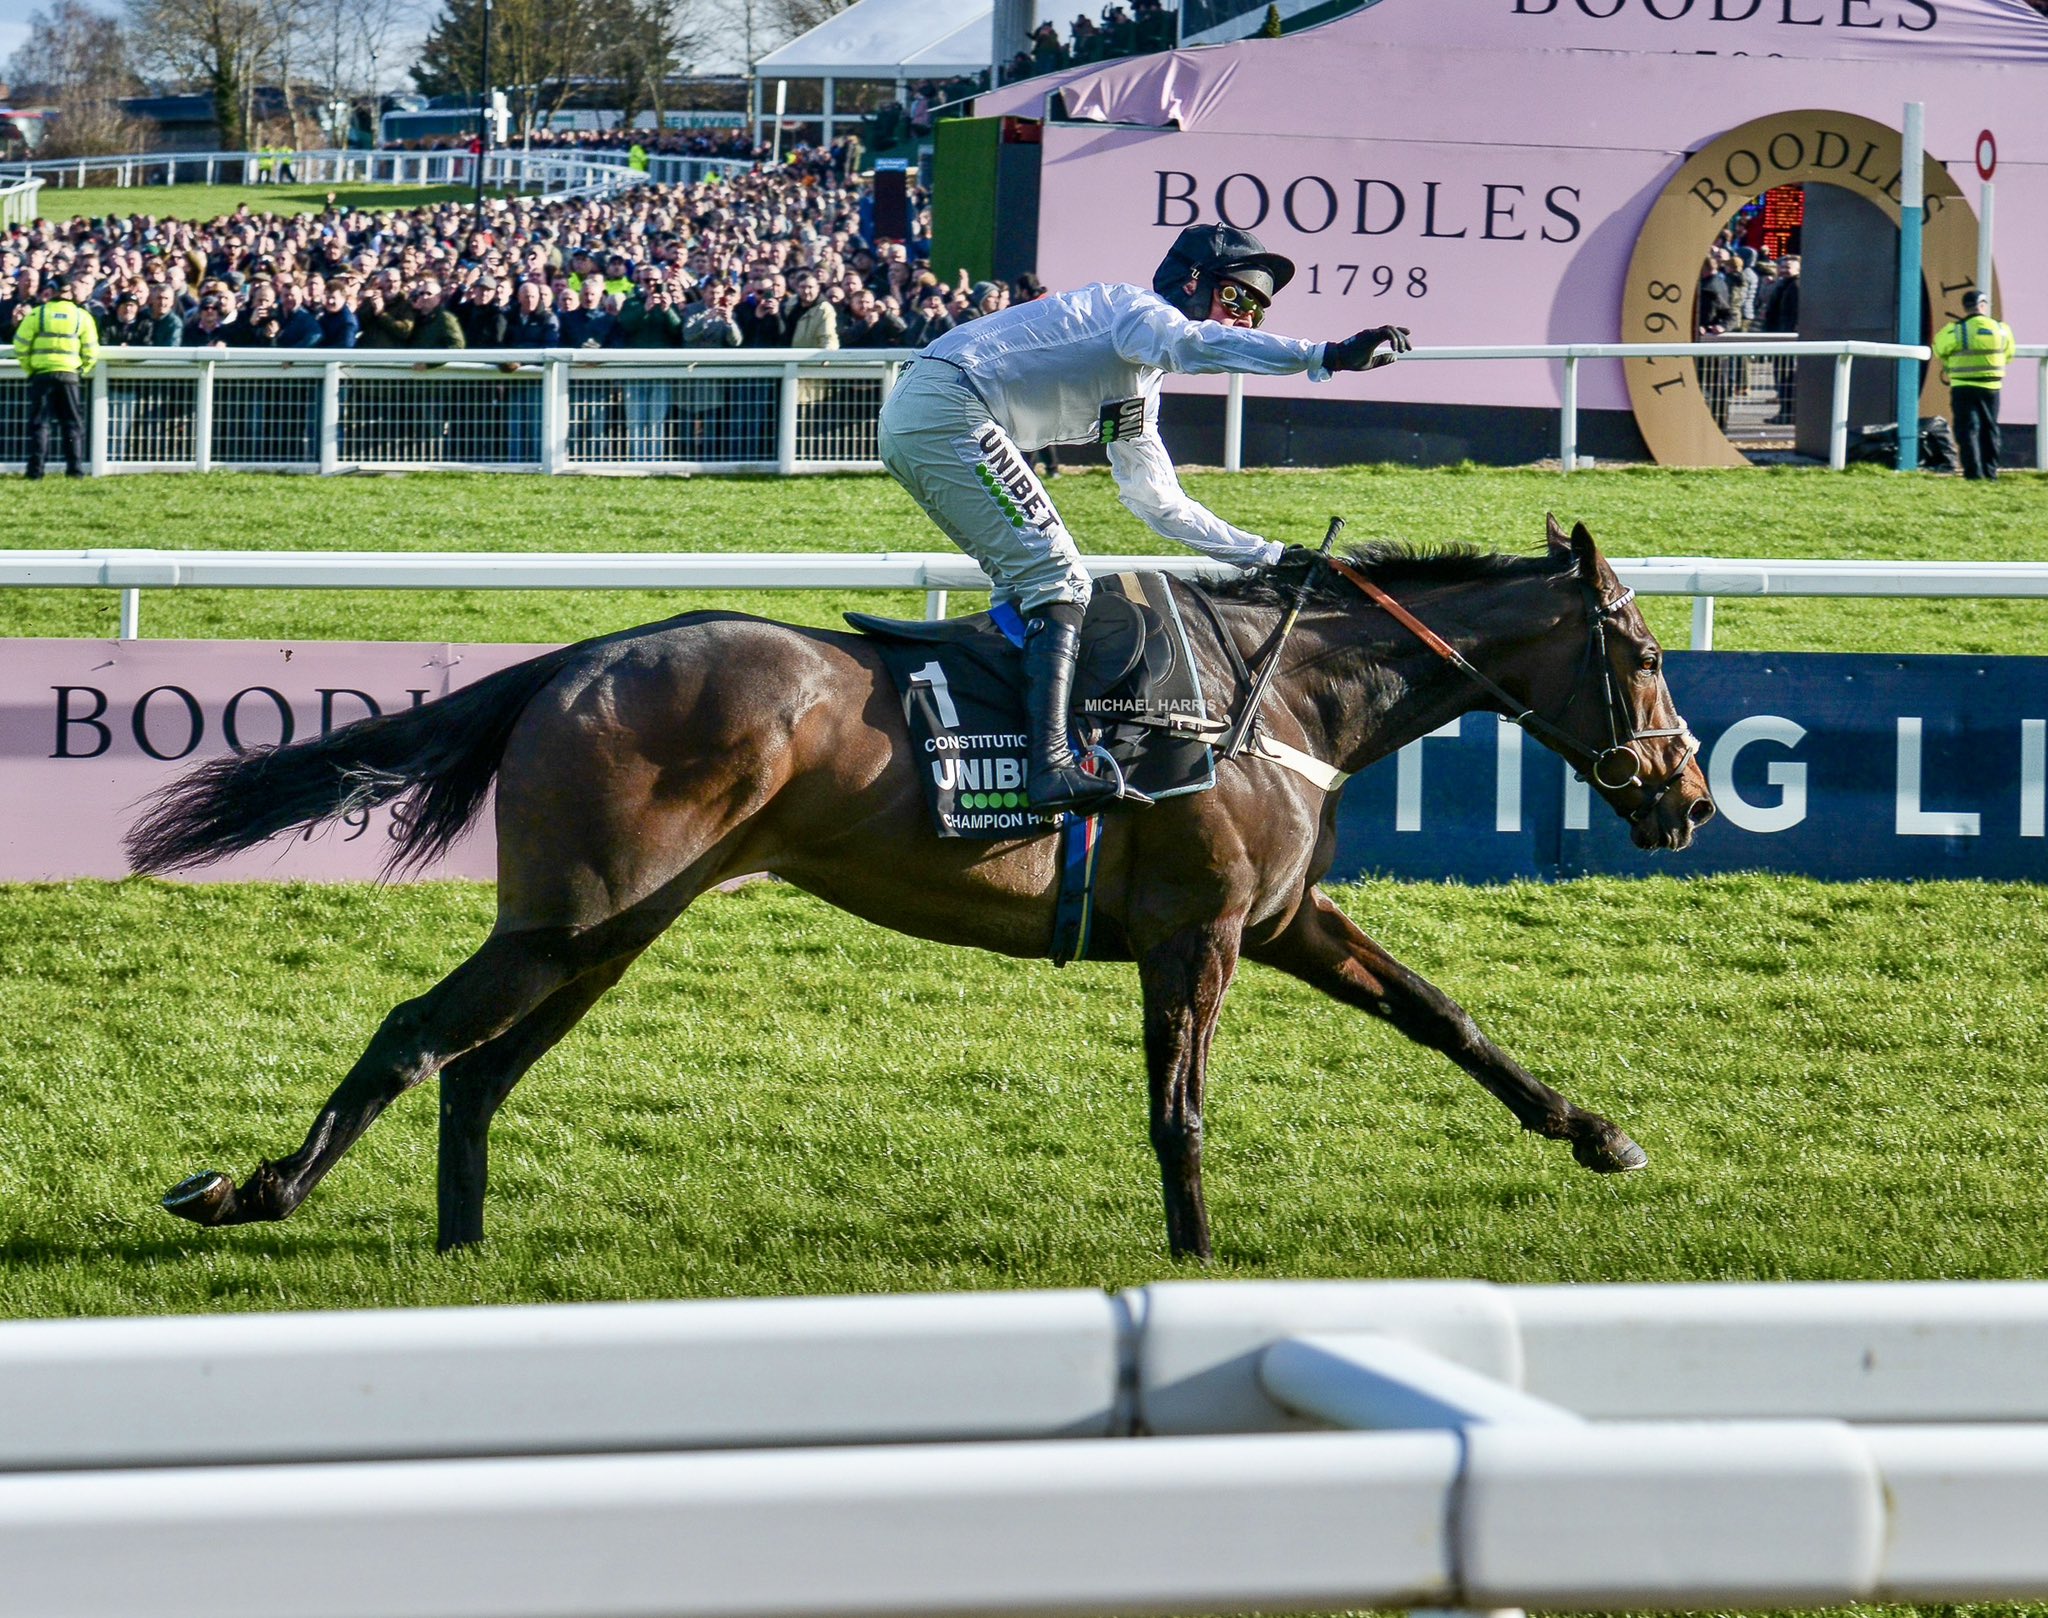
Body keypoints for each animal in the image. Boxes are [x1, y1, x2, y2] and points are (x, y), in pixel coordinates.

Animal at [128, 516, 1715, 1263]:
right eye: (1641, 653)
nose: (1690, 798)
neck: (1275, 695)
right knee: (417, 1031)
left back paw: (462, 1250)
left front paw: (1600, 1134)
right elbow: (1180, 1107)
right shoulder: (1195, 934)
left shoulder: (1276, 921)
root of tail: (577, 657)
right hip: (571, 916)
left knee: (478, 1067)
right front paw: (1200, 1259)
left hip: (619, 925)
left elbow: (1445, 1018)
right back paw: (257, 1190)